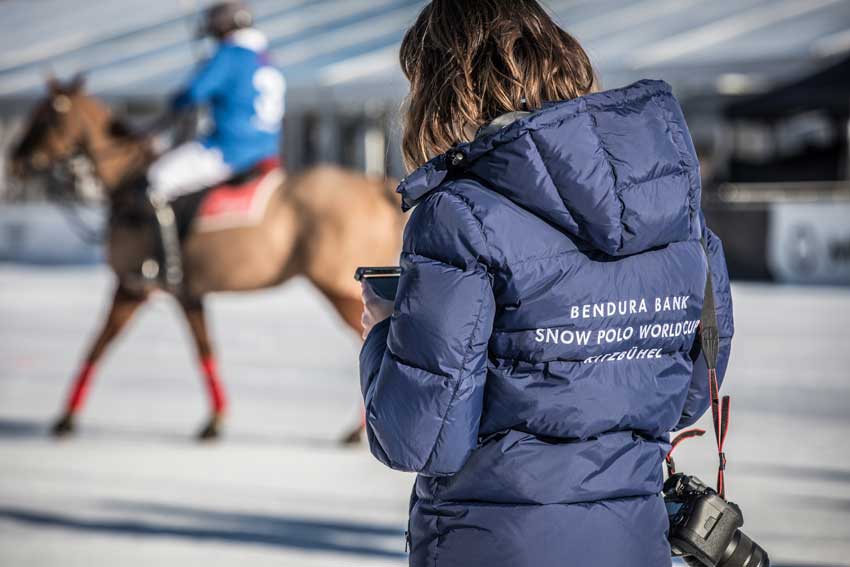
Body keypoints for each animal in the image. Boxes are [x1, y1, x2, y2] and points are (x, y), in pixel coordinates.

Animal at [6, 77, 404, 444]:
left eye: (45, 117)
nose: (14, 161)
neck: (127, 186)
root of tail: (375, 187)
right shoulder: (184, 293)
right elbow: (202, 349)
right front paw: (214, 421)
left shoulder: (132, 286)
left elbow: (98, 345)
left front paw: (65, 420)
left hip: (338, 287)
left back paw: (359, 430)